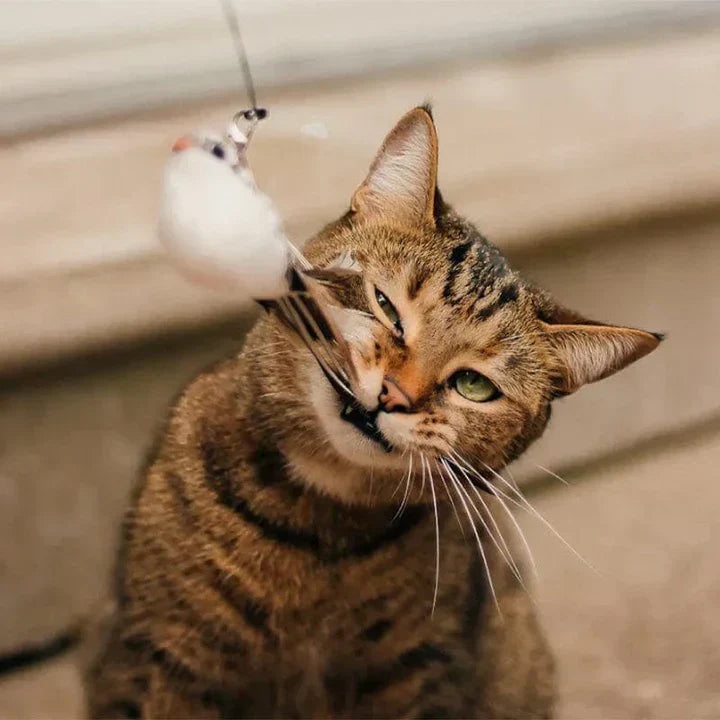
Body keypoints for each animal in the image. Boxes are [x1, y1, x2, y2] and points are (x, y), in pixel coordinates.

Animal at [86, 104, 664, 716]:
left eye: (473, 385)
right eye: (385, 306)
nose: (394, 395)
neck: (314, 532)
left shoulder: (421, 670)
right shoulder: (162, 655)